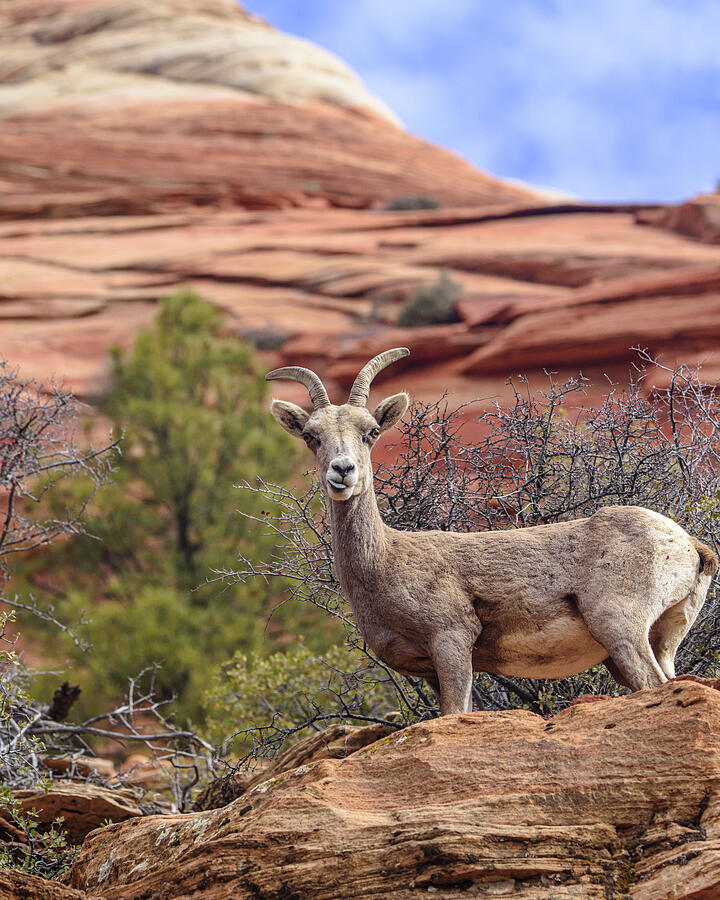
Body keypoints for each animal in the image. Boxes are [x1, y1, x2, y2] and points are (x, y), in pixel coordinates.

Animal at [266, 348, 718, 715]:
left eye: (371, 432)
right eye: (311, 436)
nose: (342, 471)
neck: (384, 561)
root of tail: (689, 545)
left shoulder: (451, 641)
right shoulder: (431, 669)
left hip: (620, 627)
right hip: (661, 639)